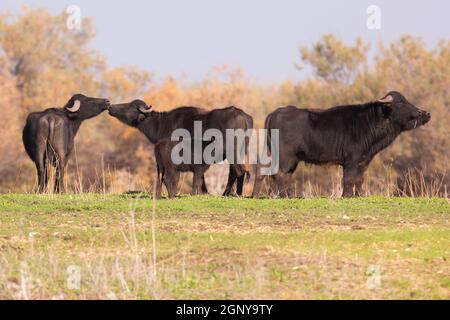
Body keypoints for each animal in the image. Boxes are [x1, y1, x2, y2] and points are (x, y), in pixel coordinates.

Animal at [107, 100, 251, 195]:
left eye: (131, 106)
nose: (110, 106)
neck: (161, 123)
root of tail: (244, 116)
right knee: (238, 170)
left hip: (233, 152)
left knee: (237, 170)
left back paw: (231, 193)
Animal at [253, 90, 432, 199]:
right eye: (401, 102)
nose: (425, 113)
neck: (369, 122)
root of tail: (275, 113)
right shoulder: (351, 160)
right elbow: (349, 179)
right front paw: (346, 195)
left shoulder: (363, 161)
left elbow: (359, 179)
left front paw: (359, 195)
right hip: (285, 157)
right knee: (279, 174)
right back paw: (283, 195)